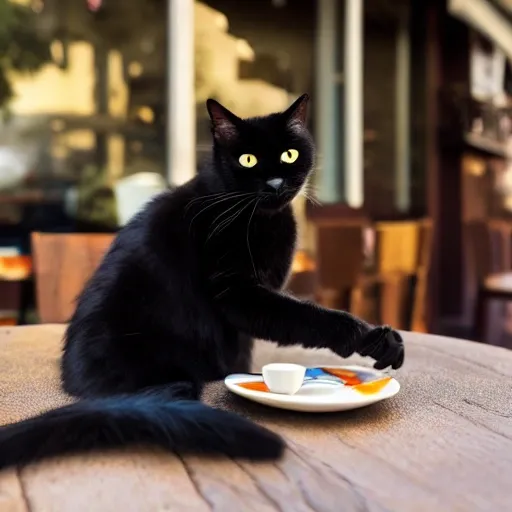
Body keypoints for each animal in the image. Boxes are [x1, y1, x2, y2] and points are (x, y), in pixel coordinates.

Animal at [0, 94, 402, 470]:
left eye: (289, 155)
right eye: (248, 160)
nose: (275, 183)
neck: (262, 218)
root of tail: (73, 380)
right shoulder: (238, 293)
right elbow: (305, 317)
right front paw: (369, 336)